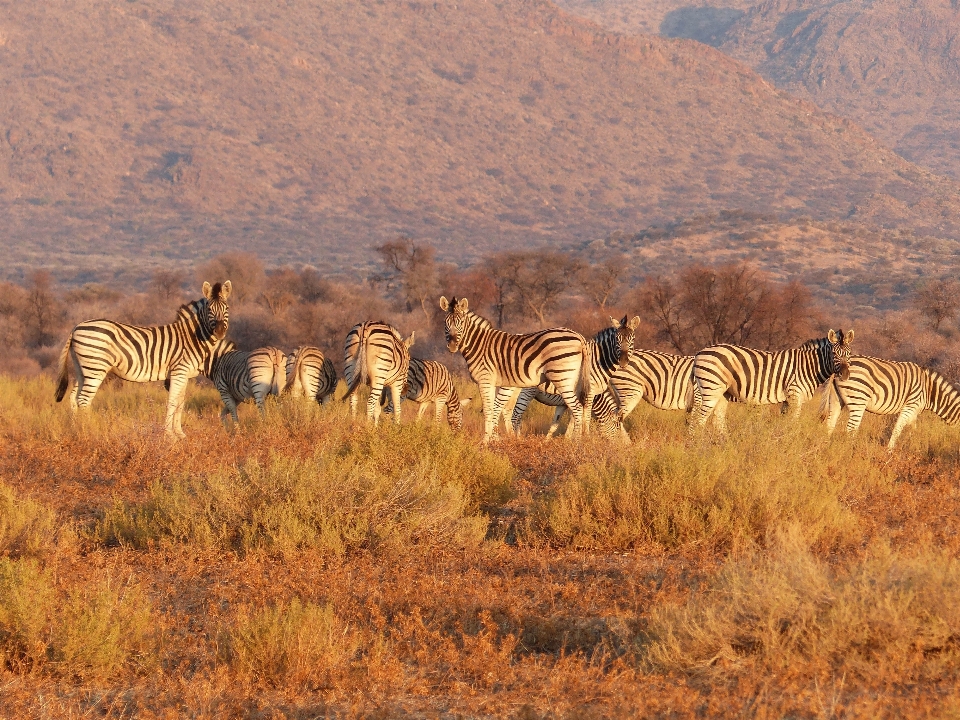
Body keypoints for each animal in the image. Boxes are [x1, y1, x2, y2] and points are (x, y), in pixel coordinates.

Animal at [54, 282, 232, 438]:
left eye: (227, 308)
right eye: (209, 309)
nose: (219, 331)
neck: (193, 337)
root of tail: (76, 327)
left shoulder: (185, 375)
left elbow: (180, 403)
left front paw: (180, 434)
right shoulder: (179, 371)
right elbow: (173, 402)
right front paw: (169, 435)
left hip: (82, 368)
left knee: (74, 398)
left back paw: (77, 431)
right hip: (96, 367)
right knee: (84, 400)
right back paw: (90, 432)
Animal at [438, 296, 588, 442]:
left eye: (461, 322)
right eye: (445, 323)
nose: (452, 345)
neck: (479, 345)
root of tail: (579, 337)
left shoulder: (484, 380)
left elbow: (488, 410)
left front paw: (485, 442)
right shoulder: (491, 382)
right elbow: (492, 409)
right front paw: (492, 440)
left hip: (561, 377)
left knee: (577, 408)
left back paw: (576, 443)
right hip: (572, 380)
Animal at [506, 316, 640, 438]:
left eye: (632, 339)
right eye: (617, 339)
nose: (623, 362)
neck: (598, 362)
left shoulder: (567, 402)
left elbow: (559, 423)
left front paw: (567, 439)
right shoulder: (588, 393)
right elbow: (584, 417)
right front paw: (584, 437)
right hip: (526, 390)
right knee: (514, 413)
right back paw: (515, 438)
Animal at [688, 330, 856, 434]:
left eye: (849, 354)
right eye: (834, 353)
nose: (845, 375)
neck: (807, 366)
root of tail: (698, 353)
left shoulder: (787, 399)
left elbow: (785, 422)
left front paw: (780, 441)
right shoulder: (795, 395)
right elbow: (793, 423)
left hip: (723, 393)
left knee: (717, 420)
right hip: (710, 389)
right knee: (698, 421)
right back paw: (695, 447)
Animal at [816, 356, 960, 450]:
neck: (929, 390)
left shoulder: (914, 411)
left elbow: (912, 429)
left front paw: (912, 446)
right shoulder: (910, 405)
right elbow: (898, 428)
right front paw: (890, 451)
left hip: (836, 399)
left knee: (830, 423)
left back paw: (826, 446)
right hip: (858, 399)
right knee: (851, 427)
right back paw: (849, 450)